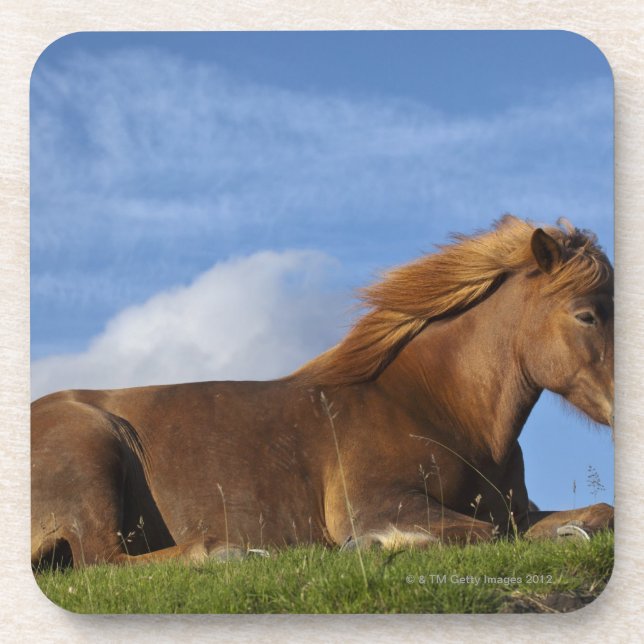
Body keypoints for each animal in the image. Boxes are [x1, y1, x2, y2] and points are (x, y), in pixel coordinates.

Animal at [31, 215, 614, 568]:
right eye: (586, 314)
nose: (619, 407)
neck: (435, 409)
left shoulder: (515, 509)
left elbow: (595, 513)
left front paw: (572, 531)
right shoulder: (380, 502)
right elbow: (483, 533)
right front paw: (373, 544)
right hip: (93, 456)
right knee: (101, 561)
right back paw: (225, 553)